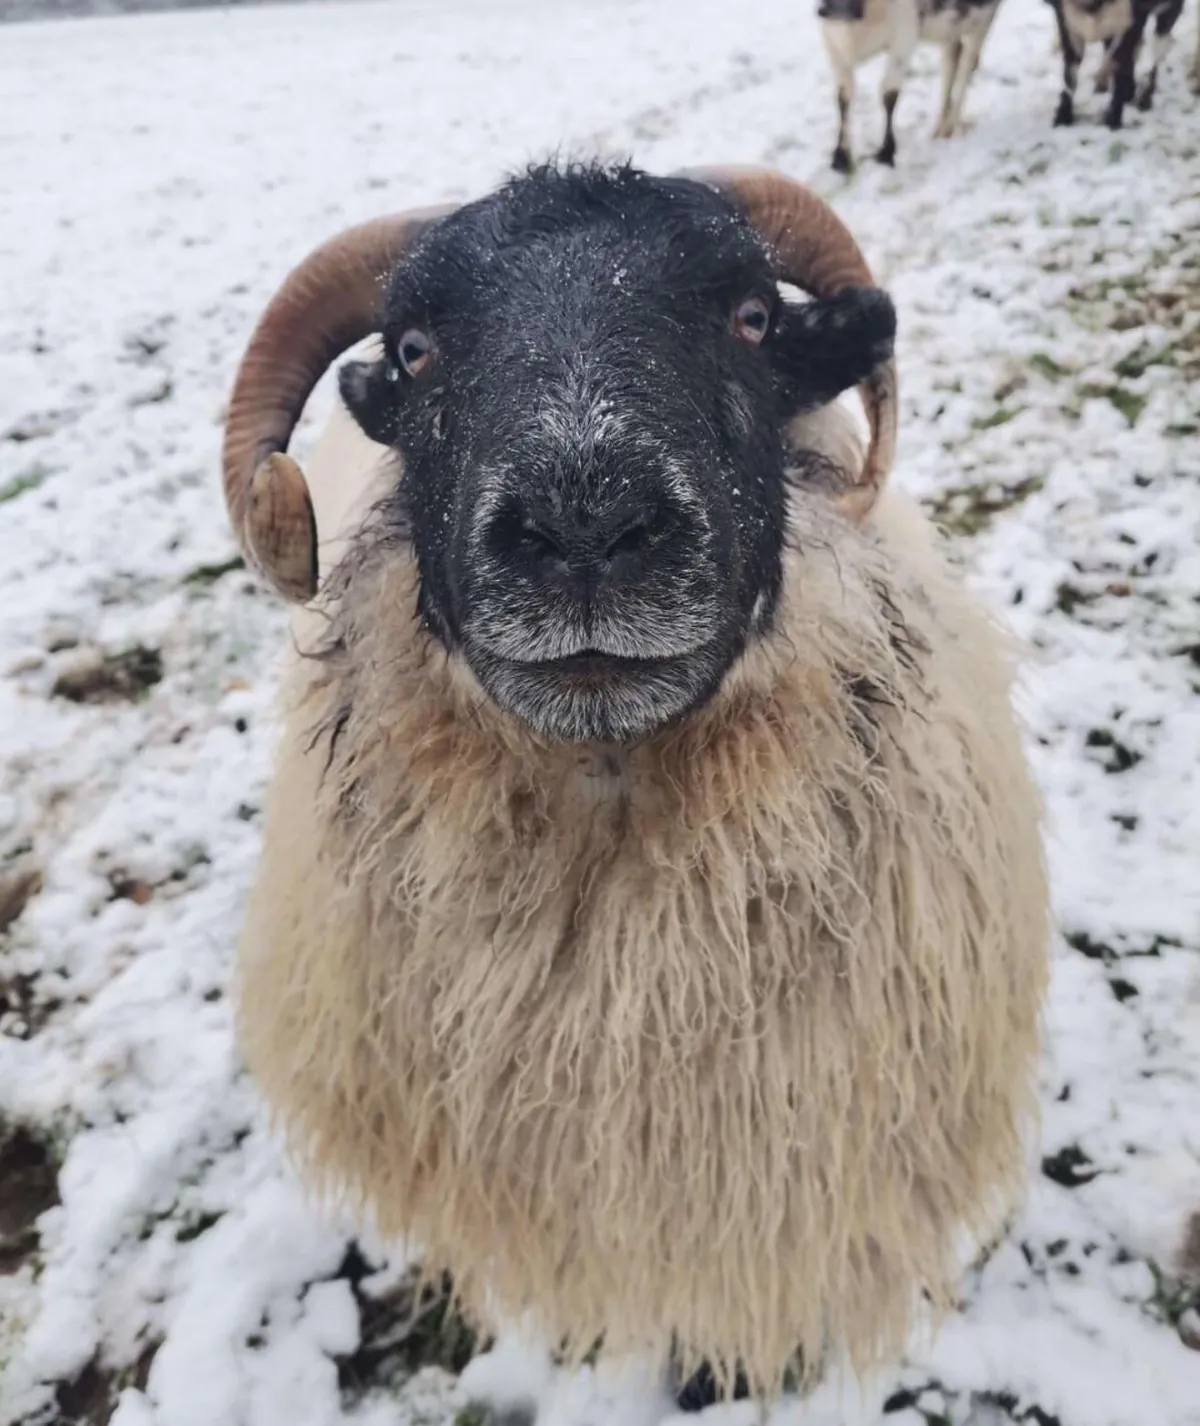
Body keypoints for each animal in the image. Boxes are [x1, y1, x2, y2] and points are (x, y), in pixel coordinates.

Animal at [818, 0, 1005, 172]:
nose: (835, 9)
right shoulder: (833, 43)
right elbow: (843, 98)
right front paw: (841, 157)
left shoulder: (903, 36)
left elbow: (889, 95)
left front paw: (886, 154)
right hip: (952, 27)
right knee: (952, 59)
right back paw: (941, 128)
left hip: (983, 20)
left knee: (968, 63)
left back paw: (953, 126)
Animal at [1048, 0, 1187, 127]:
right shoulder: (1067, 22)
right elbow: (1070, 72)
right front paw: (1062, 117)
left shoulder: (1127, 23)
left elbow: (1120, 67)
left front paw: (1113, 121)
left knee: (1157, 50)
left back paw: (1144, 98)